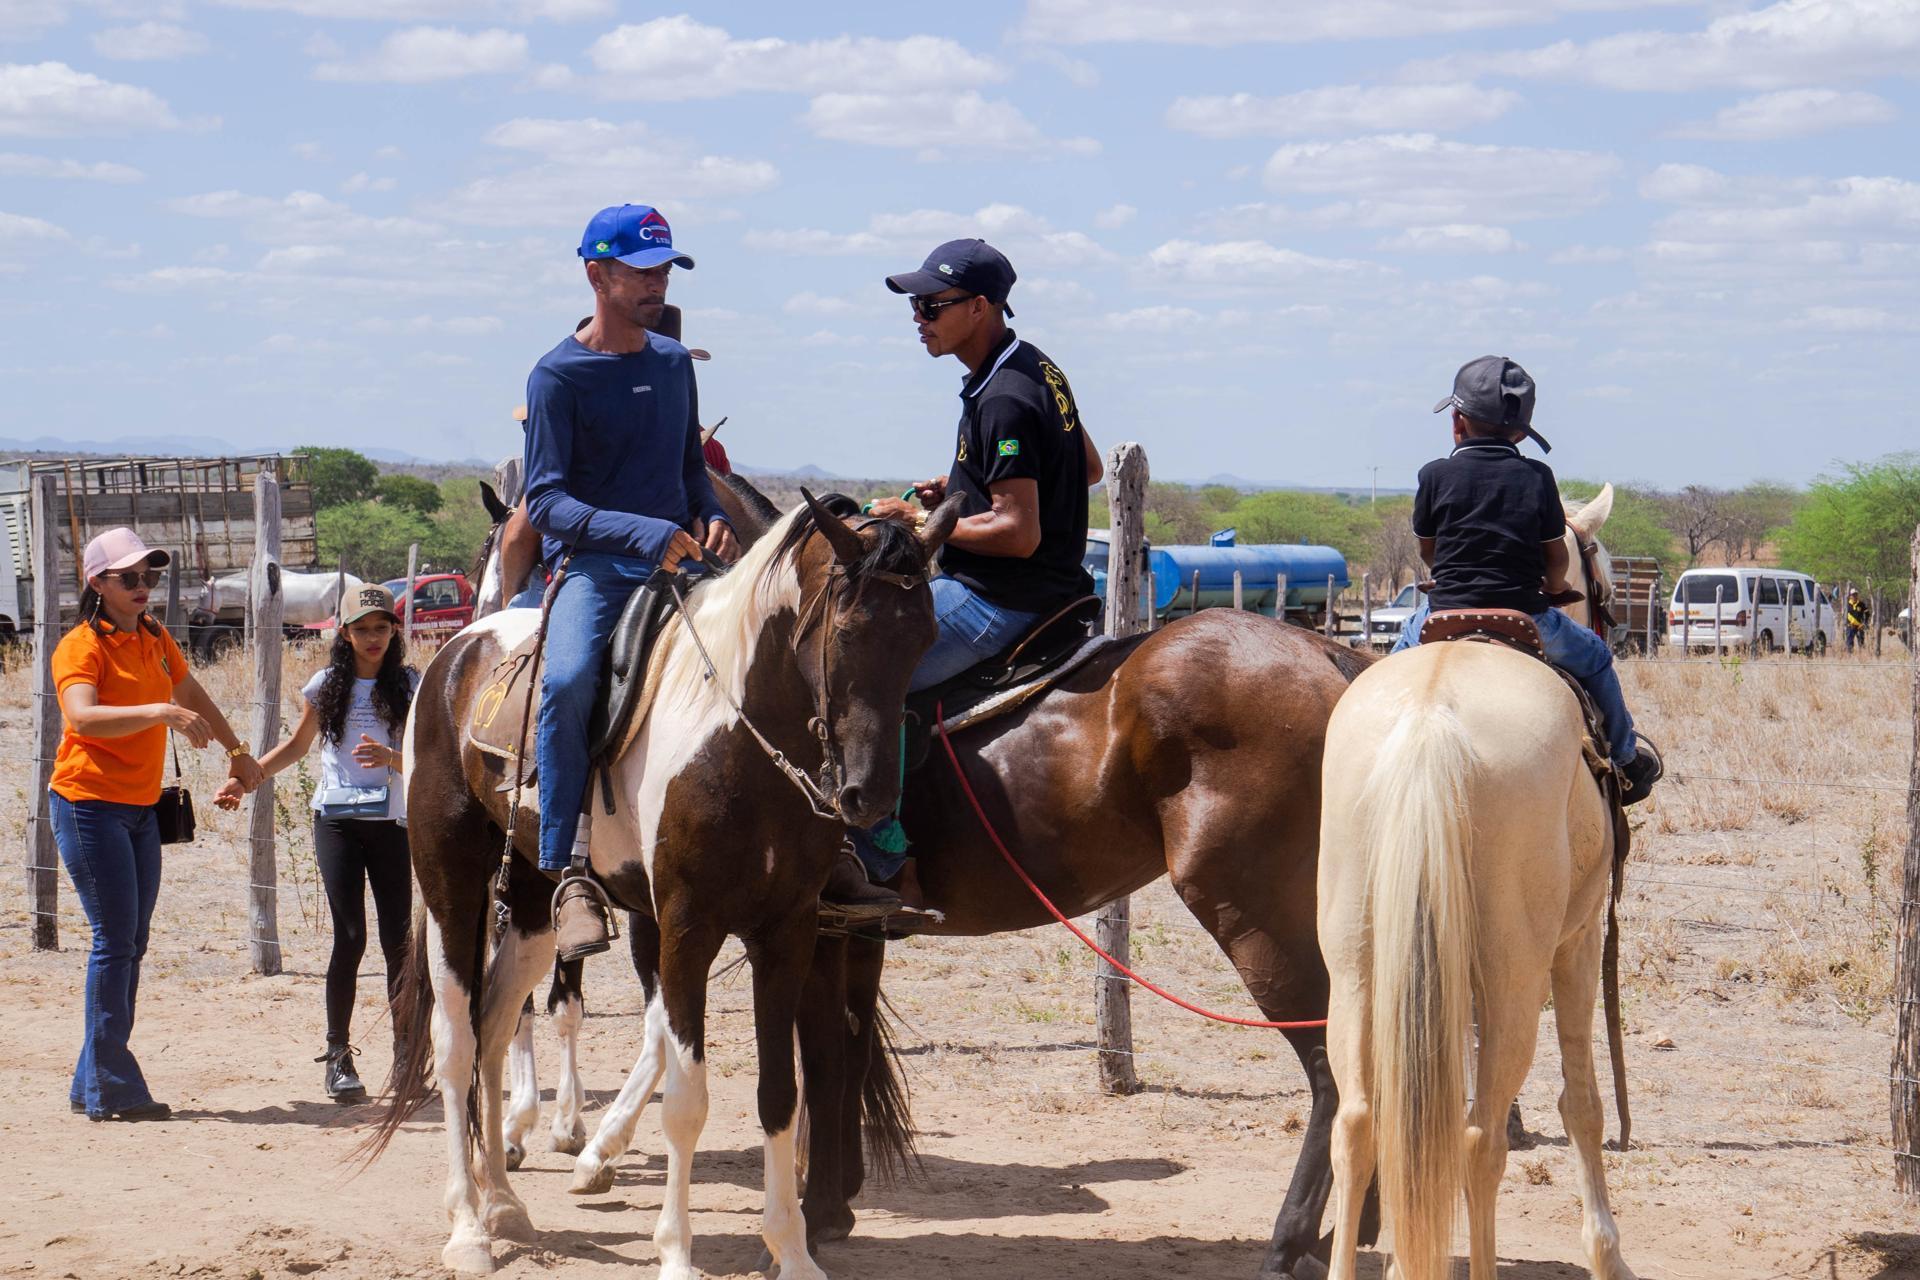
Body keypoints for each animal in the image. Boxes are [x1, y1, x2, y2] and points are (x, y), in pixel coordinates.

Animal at [365, 489, 964, 1278]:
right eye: (847, 627)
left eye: (925, 636)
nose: (869, 796)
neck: (737, 740)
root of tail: (459, 650)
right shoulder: (685, 929)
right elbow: (686, 1098)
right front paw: (677, 1251)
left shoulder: (788, 931)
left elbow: (780, 1093)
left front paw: (792, 1250)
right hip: (452, 886)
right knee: (456, 1038)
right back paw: (468, 1226)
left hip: (531, 906)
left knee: (493, 1027)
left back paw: (503, 1204)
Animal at [1315, 487, 1635, 1280]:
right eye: (1605, 582)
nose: (1616, 630)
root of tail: (1431, 720)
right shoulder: (1579, 941)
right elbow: (1583, 1101)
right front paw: (1606, 1252)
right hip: (1517, 974)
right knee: (1479, 1137)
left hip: (1359, 964)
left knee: (1360, 1122)